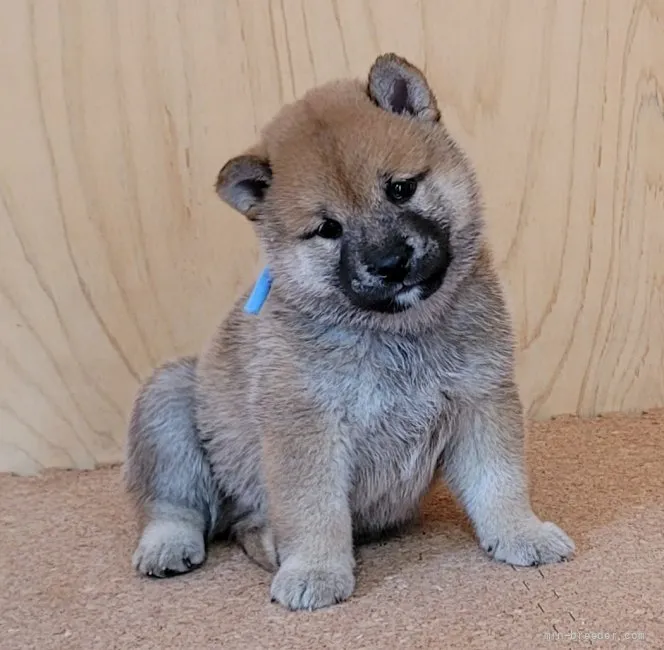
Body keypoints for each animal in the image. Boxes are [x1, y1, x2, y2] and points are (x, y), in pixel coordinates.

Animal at [126, 53, 576, 612]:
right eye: (328, 229)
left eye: (401, 189)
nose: (390, 263)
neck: (398, 333)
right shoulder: (307, 428)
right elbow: (315, 511)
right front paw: (315, 570)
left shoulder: (480, 401)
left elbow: (501, 483)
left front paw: (522, 533)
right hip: (169, 402)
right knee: (175, 505)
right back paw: (171, 545)